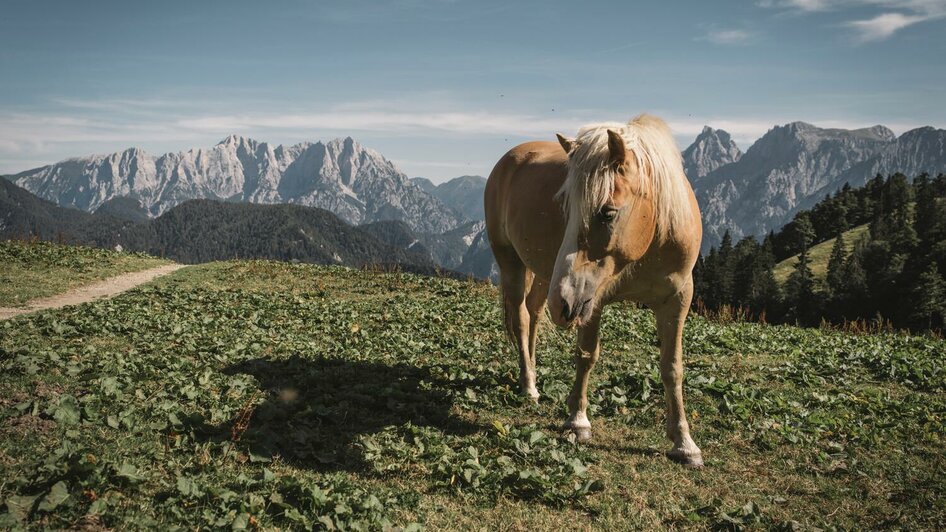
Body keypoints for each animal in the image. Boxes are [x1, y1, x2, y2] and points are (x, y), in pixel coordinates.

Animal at [486, 115, 700, 466]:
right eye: (565, 208)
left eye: (607, 212)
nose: (565, 304)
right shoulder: (591, 299)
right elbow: (587, 356)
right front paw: (578, 422)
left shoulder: (677, 301)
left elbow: (673, 367)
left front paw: (684, 443)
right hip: (514, 264)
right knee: (520, 318)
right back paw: (529, 384)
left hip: (546, 276)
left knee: (534, 313)